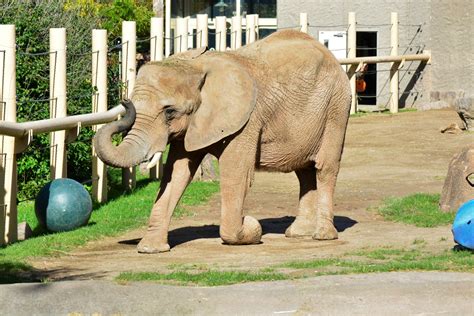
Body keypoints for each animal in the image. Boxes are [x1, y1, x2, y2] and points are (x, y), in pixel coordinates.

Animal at [93, 29, 352, 254]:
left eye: (169, 112)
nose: (125, 102)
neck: (195, 66)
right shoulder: (194, 125)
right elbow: (176, 174)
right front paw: (150, 249)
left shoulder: (247, 119)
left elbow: (235, 174)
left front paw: (251, 228)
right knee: (304, 171)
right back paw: (298, 233)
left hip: (336, 106)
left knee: (325, 168)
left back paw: (323, 235)